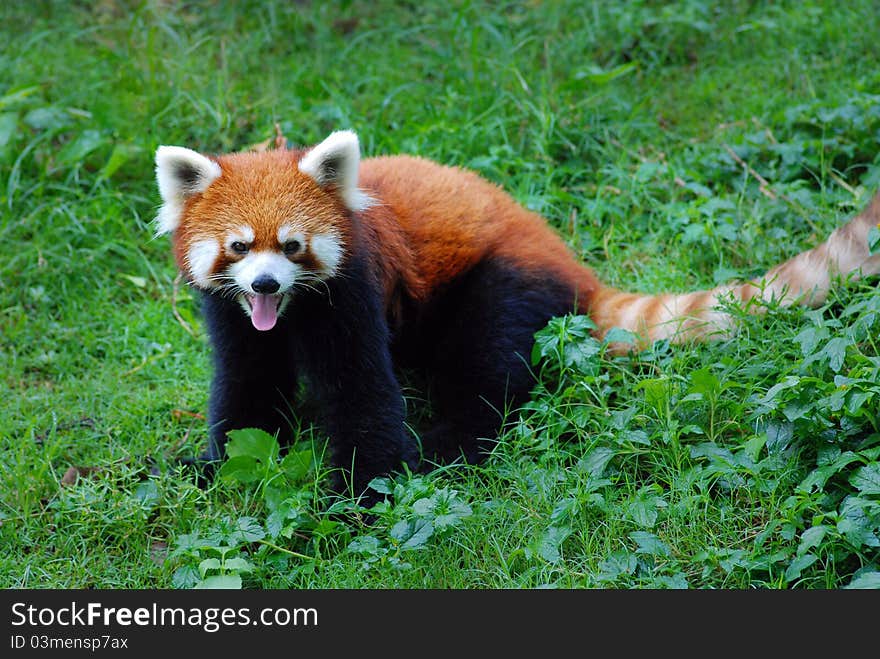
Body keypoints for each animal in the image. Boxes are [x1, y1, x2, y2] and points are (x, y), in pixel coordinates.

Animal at [155, 127, 880, 500]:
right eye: (239, 248)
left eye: (292, 246)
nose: (267, 281)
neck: (292, 311)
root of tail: (568, 260)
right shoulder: (232, 315)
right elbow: (248, 386)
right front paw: (210, 467)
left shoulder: (352, 293)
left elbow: (361, 393)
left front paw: (357, 497)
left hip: (499, 284)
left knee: (487, 368)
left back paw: (442, 448)